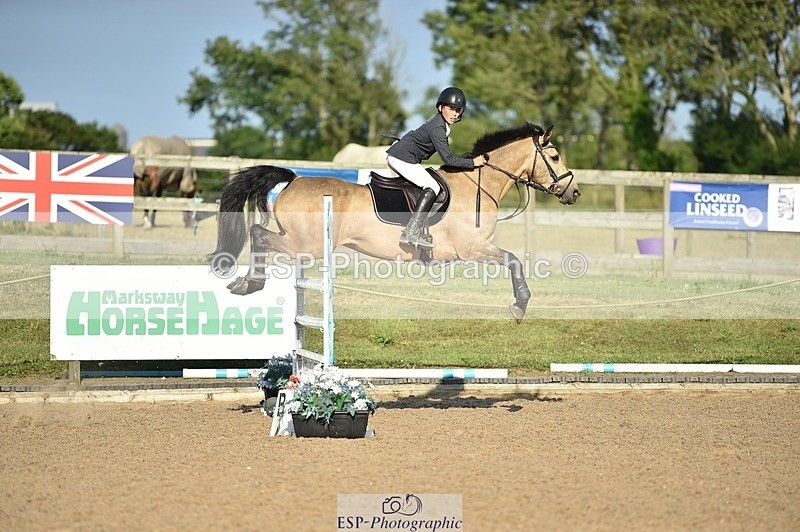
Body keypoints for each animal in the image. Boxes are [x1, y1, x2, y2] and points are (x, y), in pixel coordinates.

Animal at [209, 123, 580, 323]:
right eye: (555, 156)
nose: (573, 191)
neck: (478, 183)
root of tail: (294, 179)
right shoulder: (472, 248)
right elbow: (514, 260)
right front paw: (520, 305)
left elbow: (513, 260)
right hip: (309, 245)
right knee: (258, 233)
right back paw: (250, 283)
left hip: (303, 244)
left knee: (260, 233)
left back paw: (246, 283)